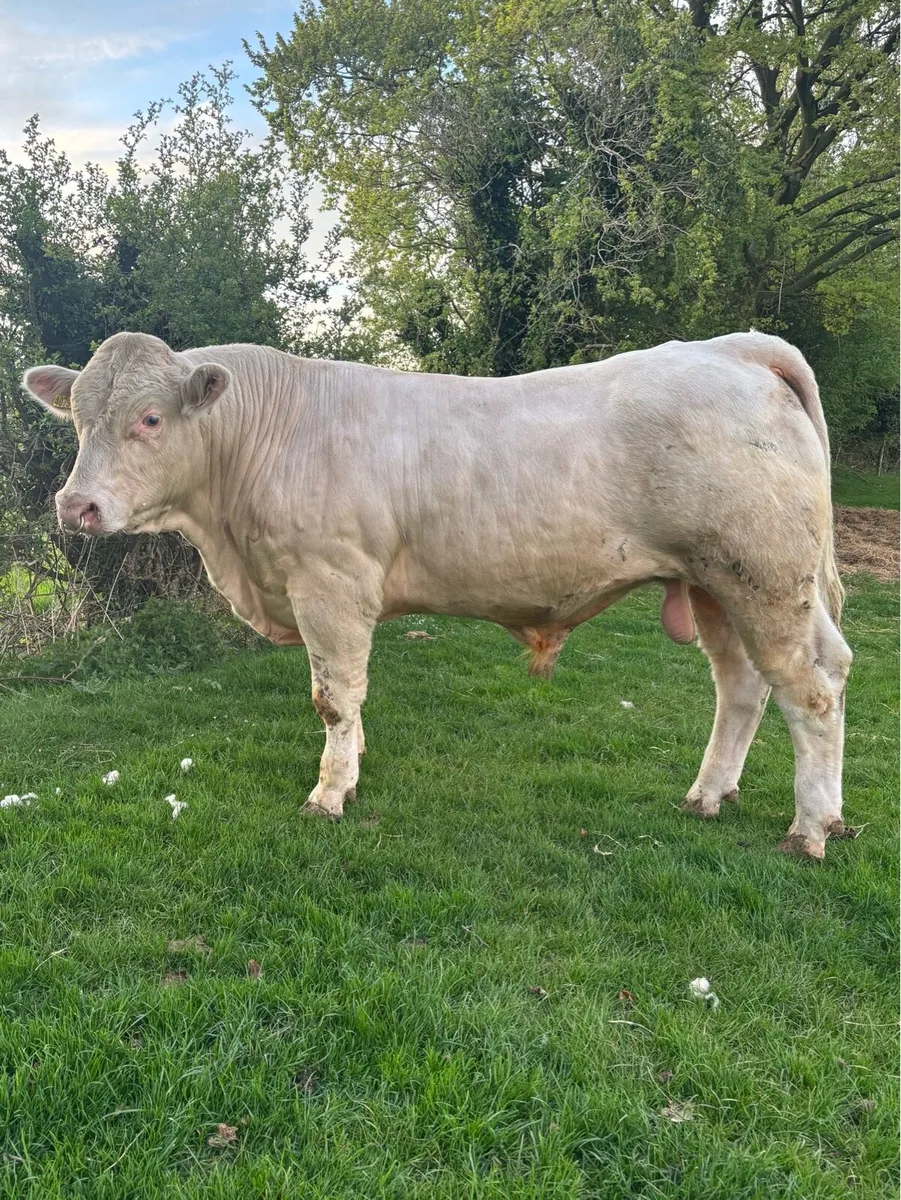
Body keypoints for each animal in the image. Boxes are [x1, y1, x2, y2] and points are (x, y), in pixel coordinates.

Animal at [23, 331, 852, 858]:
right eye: (78, 419)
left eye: (150, 418)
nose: (77, 506)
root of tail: (732, 347)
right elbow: (353, 697)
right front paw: (353, 766)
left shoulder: (329, 584)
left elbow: (333, 697)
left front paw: (329, 792)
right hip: (717, 584)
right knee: (746, 685)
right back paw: (710, 794)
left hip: (762, 577)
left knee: (808, 692)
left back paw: (810, 827)